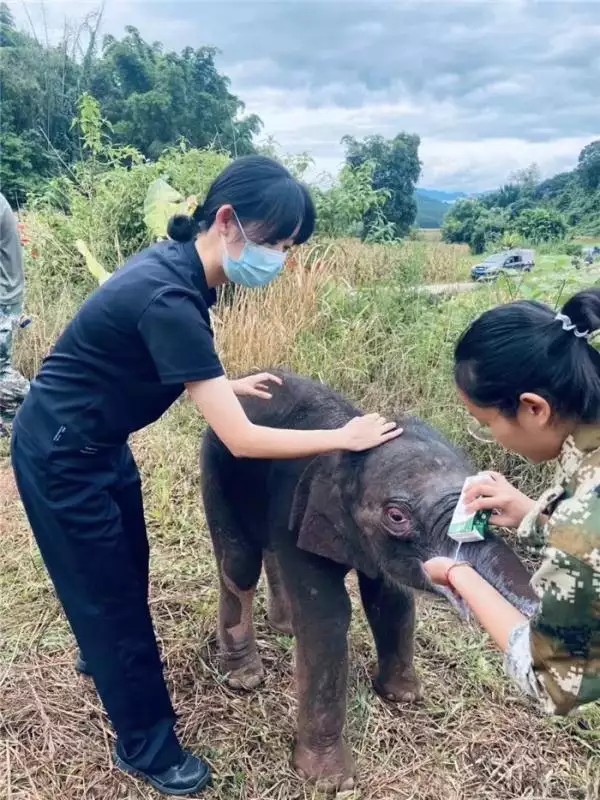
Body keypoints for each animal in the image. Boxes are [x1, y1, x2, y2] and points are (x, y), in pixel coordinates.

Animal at [200, 370, 536, 792]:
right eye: (396, 516)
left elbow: (391, 600)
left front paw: (404, 697)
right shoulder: (300, 512)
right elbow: (327, 618)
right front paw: (331, 782)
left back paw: (284, 627)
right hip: (217, 459)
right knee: (240, 561)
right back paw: (245, 678)